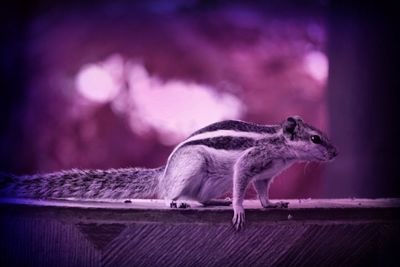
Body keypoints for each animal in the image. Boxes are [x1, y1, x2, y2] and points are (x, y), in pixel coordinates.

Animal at [0, 116, 338, 231]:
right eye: (315, 139)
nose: (335, 153)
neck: (281, 146)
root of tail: (164, 173)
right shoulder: (250, 161)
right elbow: (242, 180)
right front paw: (240, 209)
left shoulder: (266, 174)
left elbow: (263, 191)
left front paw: (272, 204)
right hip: (192, 166)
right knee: (168, 196)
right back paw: (177, 201)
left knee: (200, 197)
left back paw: (213, 202)